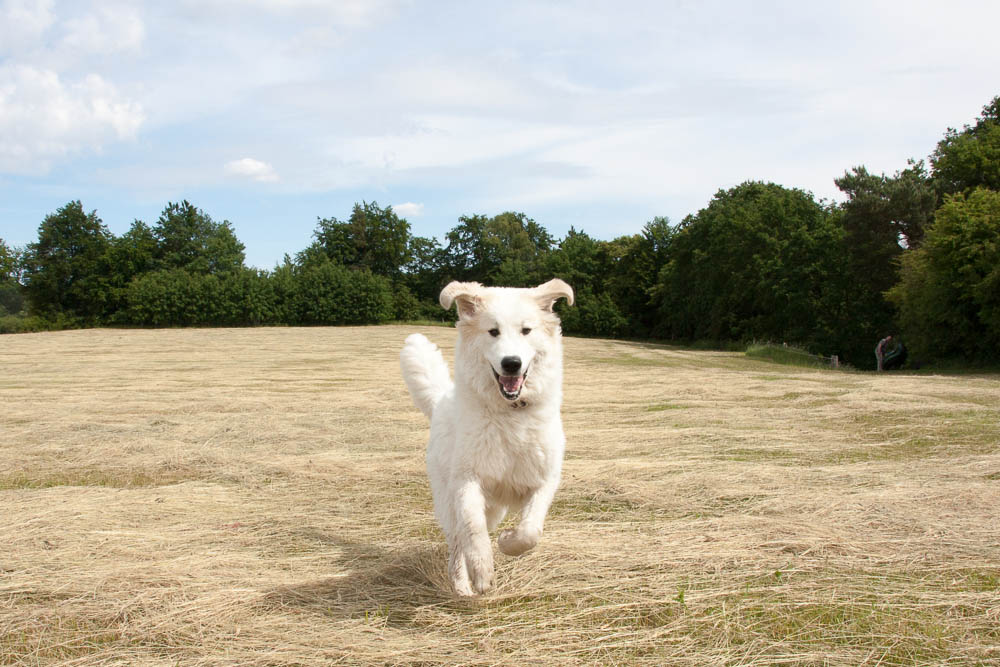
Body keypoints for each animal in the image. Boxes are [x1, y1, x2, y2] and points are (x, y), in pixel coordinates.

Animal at [396, 280, 572, 596]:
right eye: (493, 331)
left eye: (526, 330)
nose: (511, 363)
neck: (510, 413)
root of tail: (442, 398)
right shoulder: (467, 481)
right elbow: (473, 531)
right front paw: (482, 573)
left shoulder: (545, 481)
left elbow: (530, 530)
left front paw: (508, 542)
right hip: (449, 501)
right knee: (458, 542)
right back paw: (461, 586)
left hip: (495, 509)